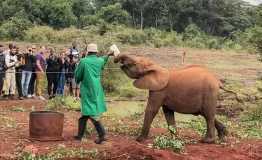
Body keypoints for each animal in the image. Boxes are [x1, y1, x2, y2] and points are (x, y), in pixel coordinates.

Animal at [114, 53, 242, 143]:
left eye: (134, 63)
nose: (119, 61)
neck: (154, 65)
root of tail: (218, 81)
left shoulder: (159, 90)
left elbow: (152, 109)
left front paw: (139, 139)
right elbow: (168, 114)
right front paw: (175, 139)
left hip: (209, 91)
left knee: (208, 115)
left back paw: (207, 141)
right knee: (206, 113)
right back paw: (223, 135)